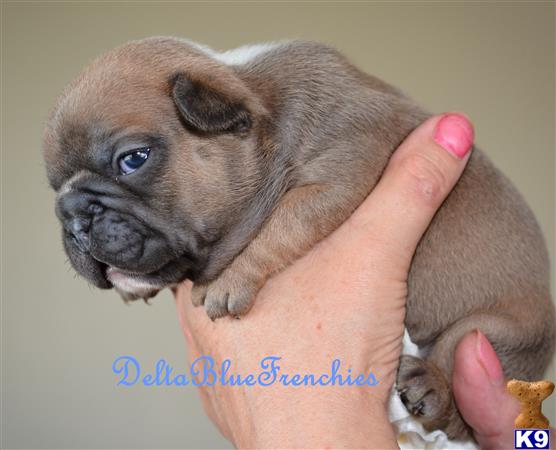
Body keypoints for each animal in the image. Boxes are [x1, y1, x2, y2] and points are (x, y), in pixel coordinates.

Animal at [44, 37, 556, 440]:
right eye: (54, 188)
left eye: (133, 159)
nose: (70, 214)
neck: (263, 112)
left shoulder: (335, 181)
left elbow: (281, 224)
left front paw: (229, 282)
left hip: (492, 335)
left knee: (457, 388)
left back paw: (433, 385)